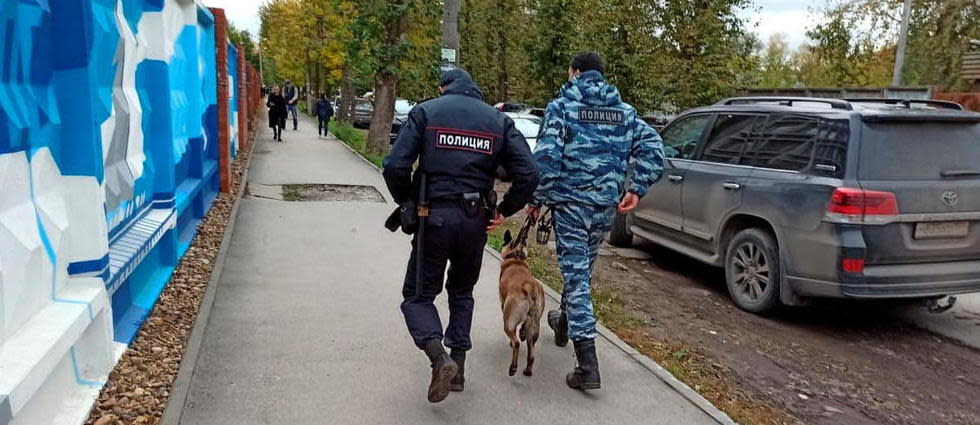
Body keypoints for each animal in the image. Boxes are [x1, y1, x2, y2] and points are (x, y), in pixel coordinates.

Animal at [502, 230, 548, 376]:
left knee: (516, 342)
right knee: (531, 353)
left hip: (508, 322)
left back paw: (513, 368)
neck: (517, 259)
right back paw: (527, 370)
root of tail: (530, 287)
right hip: (533, 327)